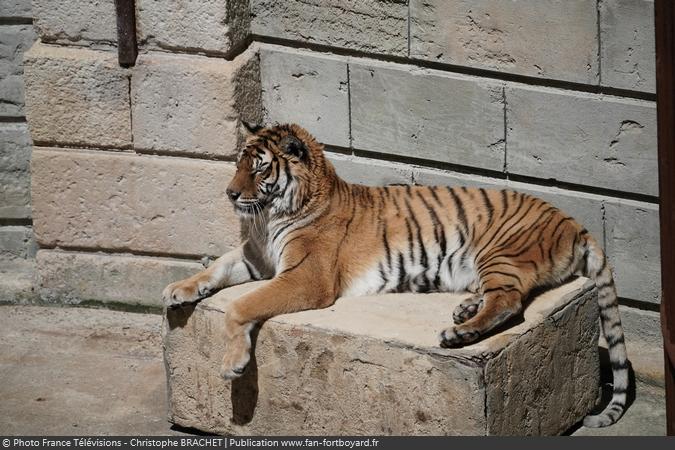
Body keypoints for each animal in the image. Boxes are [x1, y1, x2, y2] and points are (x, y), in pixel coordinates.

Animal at [162, 123, 628, 428]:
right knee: (498, 297)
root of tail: (574, 222)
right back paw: (464, 310)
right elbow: (217, 267)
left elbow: (240, 307)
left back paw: (458, 333)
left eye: (259, 169)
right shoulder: (258, 258)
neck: (275, 215)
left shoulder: (306, 277)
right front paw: (176, 290)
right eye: (238, 164)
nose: (230, 194)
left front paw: (234, 364)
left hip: (499, 250)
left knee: (510, 302)